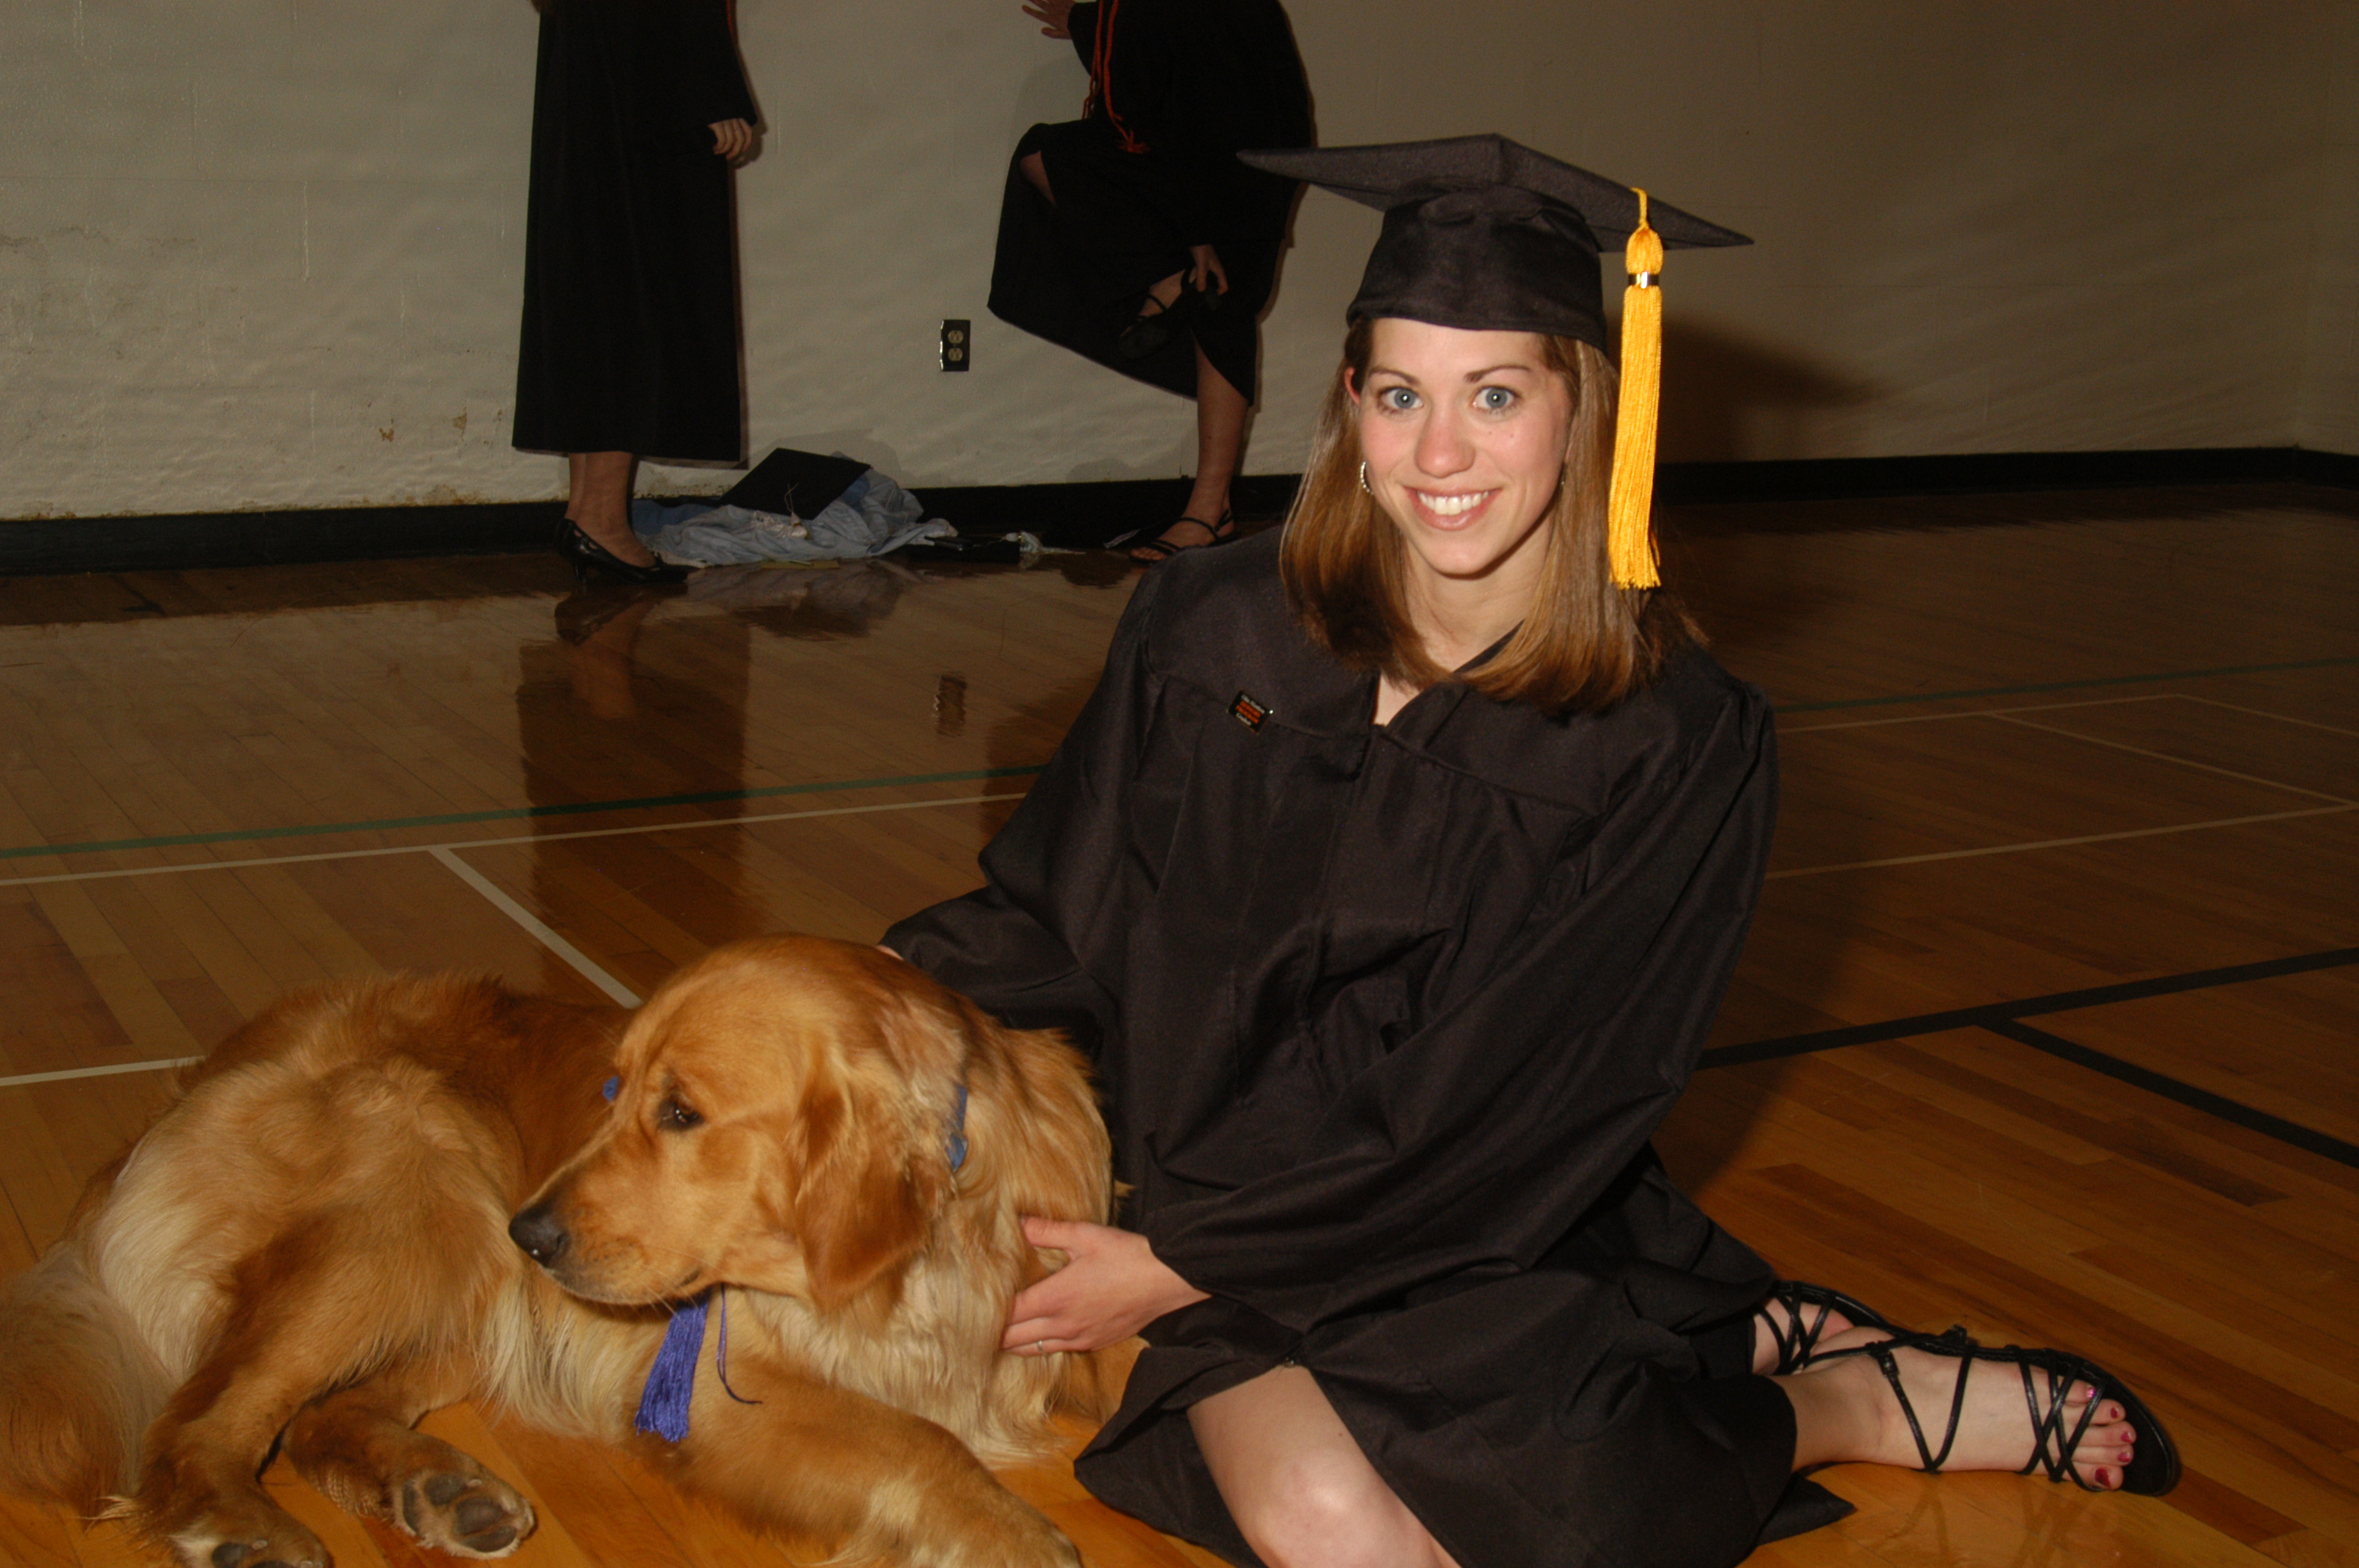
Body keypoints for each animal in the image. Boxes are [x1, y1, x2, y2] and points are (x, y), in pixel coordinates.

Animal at [0, 933, 1113, 1555]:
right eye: (613, 1089)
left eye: (679, 1111)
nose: (530, 1230)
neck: (928, 1252)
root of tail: (195, 1079)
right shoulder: (715, 1386)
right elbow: (921, 1440)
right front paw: (1020, 1540)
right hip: (425, 1178)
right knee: (197, 1422)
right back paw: (244, 1527)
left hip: (473, 1273)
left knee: (320, 1413)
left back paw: (439, 1489)